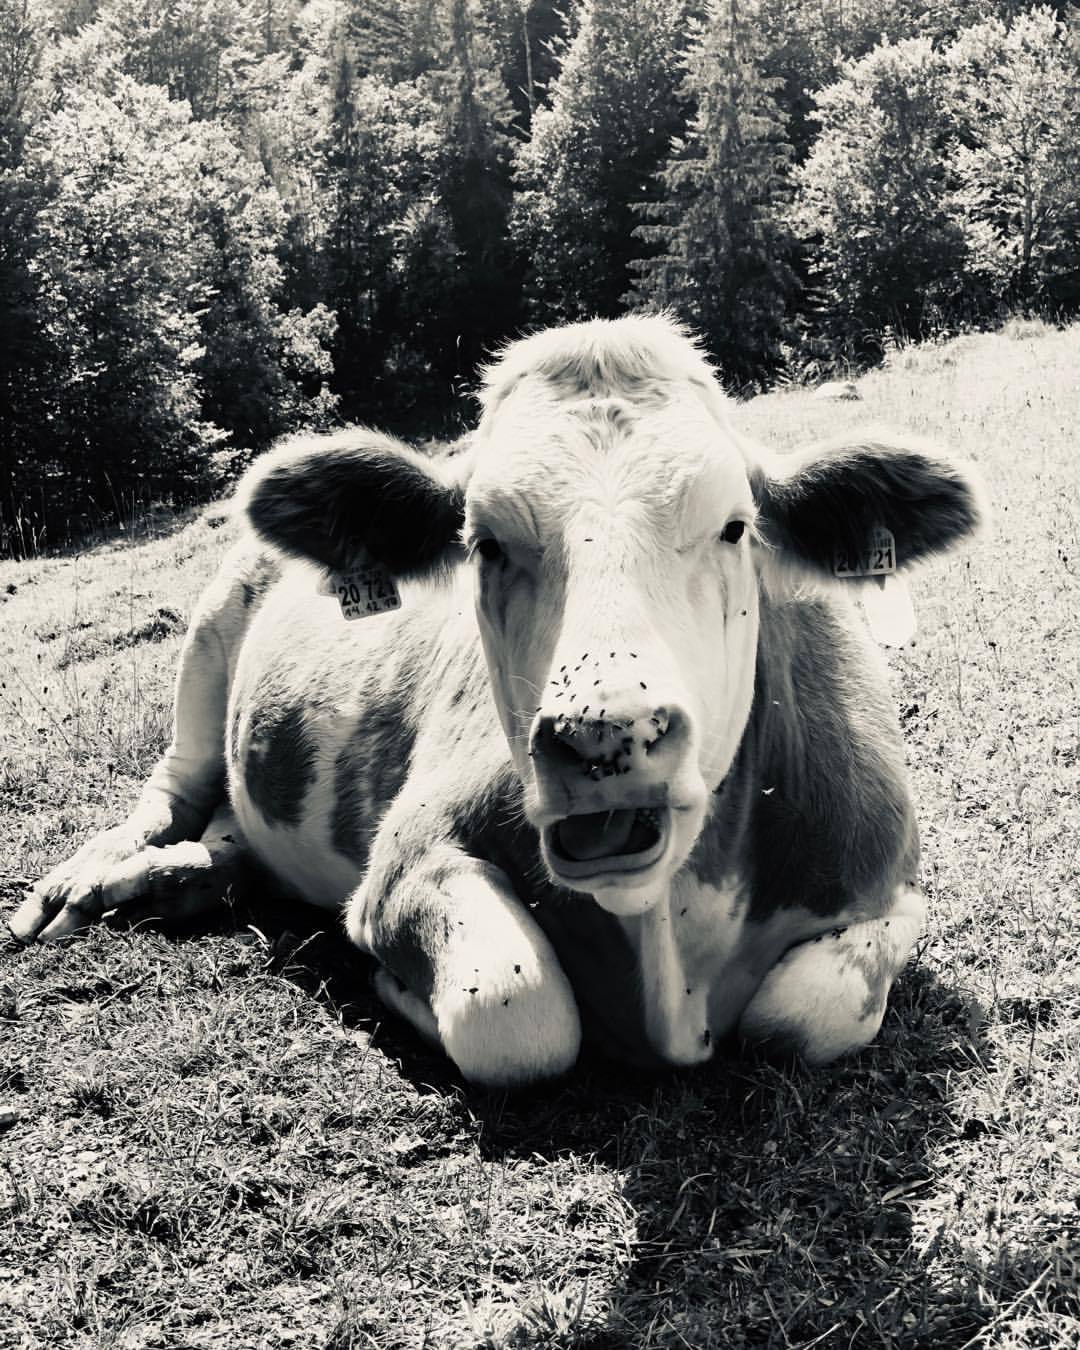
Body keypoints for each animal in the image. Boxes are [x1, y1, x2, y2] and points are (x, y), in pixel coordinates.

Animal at [10, 315, 983, 1087]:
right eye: (484, 543)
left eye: (735, 527)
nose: (604, 734)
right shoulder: (402, 867)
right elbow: (516, 1012)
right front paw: (399, 990)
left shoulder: (891, 880)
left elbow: (805, 1016)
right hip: (211, 627)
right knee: (171, 789)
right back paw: (86, 884)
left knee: (228, 836)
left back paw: (177, 880)